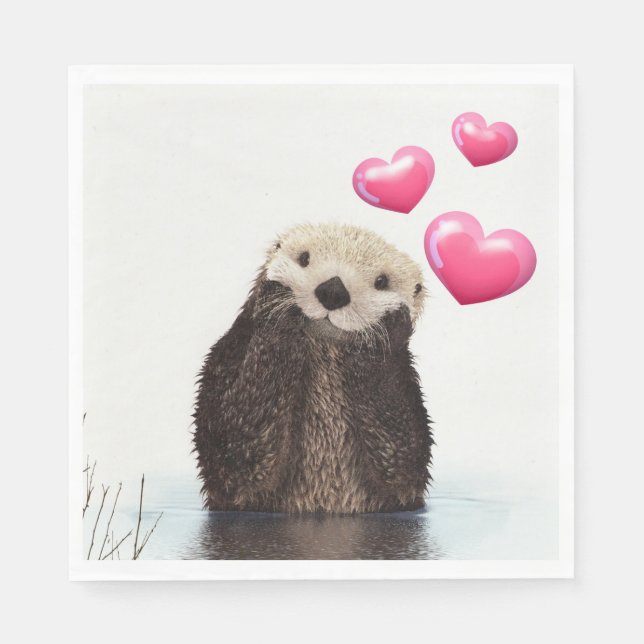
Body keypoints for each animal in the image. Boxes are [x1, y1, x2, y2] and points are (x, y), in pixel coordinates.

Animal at [193, 223, 433, 513]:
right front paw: (277, 305)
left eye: (381, 281)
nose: (333, 290)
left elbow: (403, 459)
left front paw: (385, 329)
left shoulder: (406, 389)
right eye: (304, 258)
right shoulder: (227, 358)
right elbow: (234, 448)